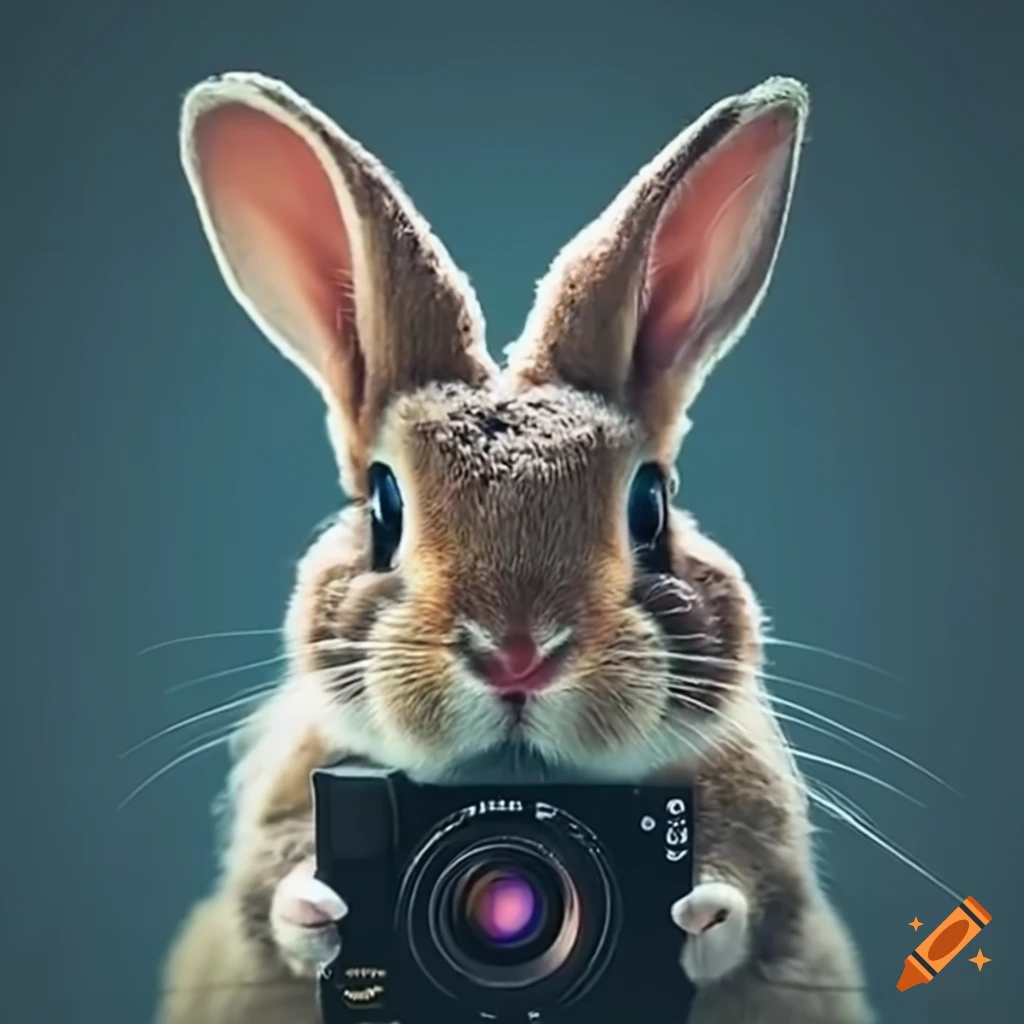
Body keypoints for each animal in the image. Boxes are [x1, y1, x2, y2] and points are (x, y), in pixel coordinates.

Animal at [154, 70, 876, 1024]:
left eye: (650, 506)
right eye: (384, 507)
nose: (518, 654)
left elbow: (759, 890)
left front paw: (703, 909)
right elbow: (269, 883)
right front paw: (314, 902)